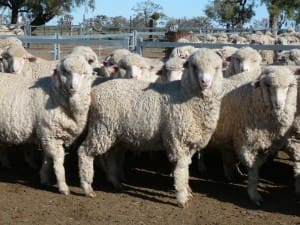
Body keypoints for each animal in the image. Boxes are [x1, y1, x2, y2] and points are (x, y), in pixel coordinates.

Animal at [0, 53, 94, 194]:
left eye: (83, 73)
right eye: (65, 71)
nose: (73, 87)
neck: (54, 93)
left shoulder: (46, 134)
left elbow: (47, 159)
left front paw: (44, 178)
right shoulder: (50, 133)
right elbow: (58, 161)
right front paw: (63, 186)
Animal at [78, 48, 224, 207]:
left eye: (217, 68)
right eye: (194, 66)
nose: (205, 82)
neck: (185, 94)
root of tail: (95, 91)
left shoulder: (189, 142)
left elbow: (186, 168)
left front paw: (187, 190)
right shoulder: (177, 139)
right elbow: (180, 169)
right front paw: (181, 198)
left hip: (112, 133)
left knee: (110, 155)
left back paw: (115, 182)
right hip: (101, 128)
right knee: (84, 152)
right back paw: (87, 187)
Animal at [206, 66, 296, 205]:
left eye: (287, 86)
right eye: (268, 85)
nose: (278, 104)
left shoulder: (265, 144)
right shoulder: (246, 142)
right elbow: (253, 170)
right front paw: (254, 195)